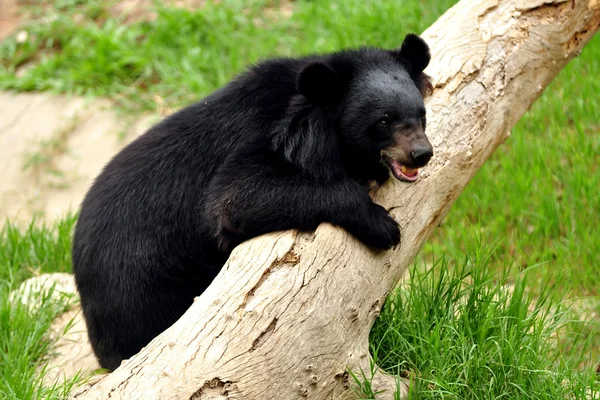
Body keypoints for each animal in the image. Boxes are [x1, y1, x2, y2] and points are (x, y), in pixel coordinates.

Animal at [72, 32, 434, 370]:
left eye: (421, 115)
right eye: (383, 121)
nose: (422, 154)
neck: (313, 124)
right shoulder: (261, 141)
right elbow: (234, 199)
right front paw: (383, 225)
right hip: (143, 286)